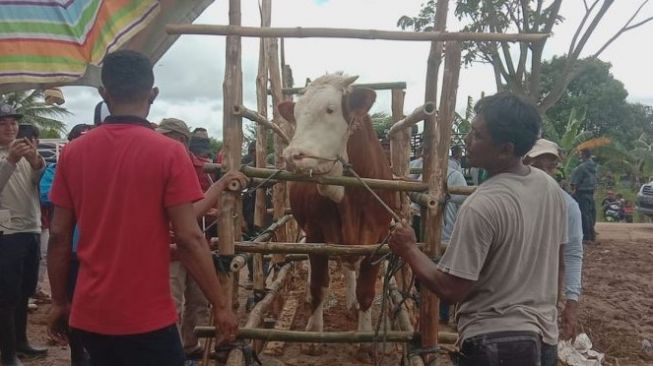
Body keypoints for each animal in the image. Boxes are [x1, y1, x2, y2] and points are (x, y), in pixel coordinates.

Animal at [278, 73, 394, 356]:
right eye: (295, 114)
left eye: (330, 109)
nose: (291, 155)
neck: (348, 199)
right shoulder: (316, 235)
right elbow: (319, 285)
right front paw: (314, 334)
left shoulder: (376, 240)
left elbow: (366, 291)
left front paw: (364, 339)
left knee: (350, 268)